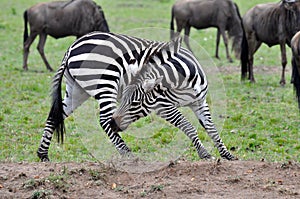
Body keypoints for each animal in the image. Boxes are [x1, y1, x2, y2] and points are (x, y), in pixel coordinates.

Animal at [37, 31, 236, 162]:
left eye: (133, 103)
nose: (115, 125)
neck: (182, 81)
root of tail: (71, 47)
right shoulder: (164, 107)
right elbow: (189, 127)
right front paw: (204, 154)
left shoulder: (200, 102)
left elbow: (212, 129)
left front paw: (227, 155)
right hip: (106, 82)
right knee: (103, 120)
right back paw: (129, 154)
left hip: (77, 90)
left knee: (54, 115)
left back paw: (42, 154)